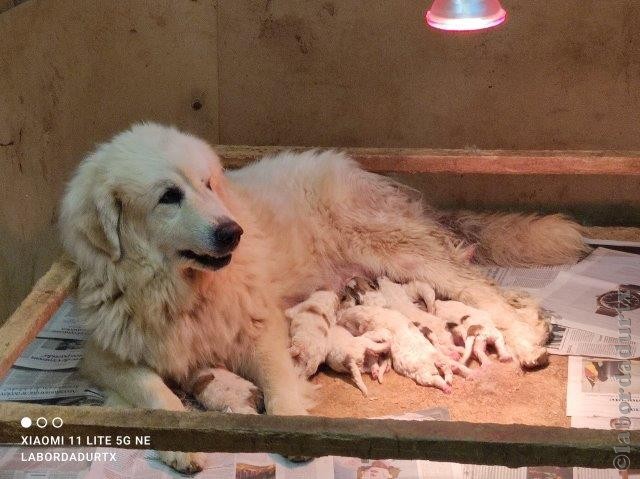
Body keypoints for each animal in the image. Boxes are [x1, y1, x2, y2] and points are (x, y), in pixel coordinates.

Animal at [60, 123, 592, 472]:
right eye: (169, 196)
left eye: (209, 184)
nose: (233, 232)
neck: (180, 290)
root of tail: (356, 168)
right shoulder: (101, 356)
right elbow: (153, 390)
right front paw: (178, 439)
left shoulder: (262, 327)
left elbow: (278, 380)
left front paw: (290, 426)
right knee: (495, 289)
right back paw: (534, 324)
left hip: (397, 250)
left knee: (478, 286)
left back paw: (524, 339)